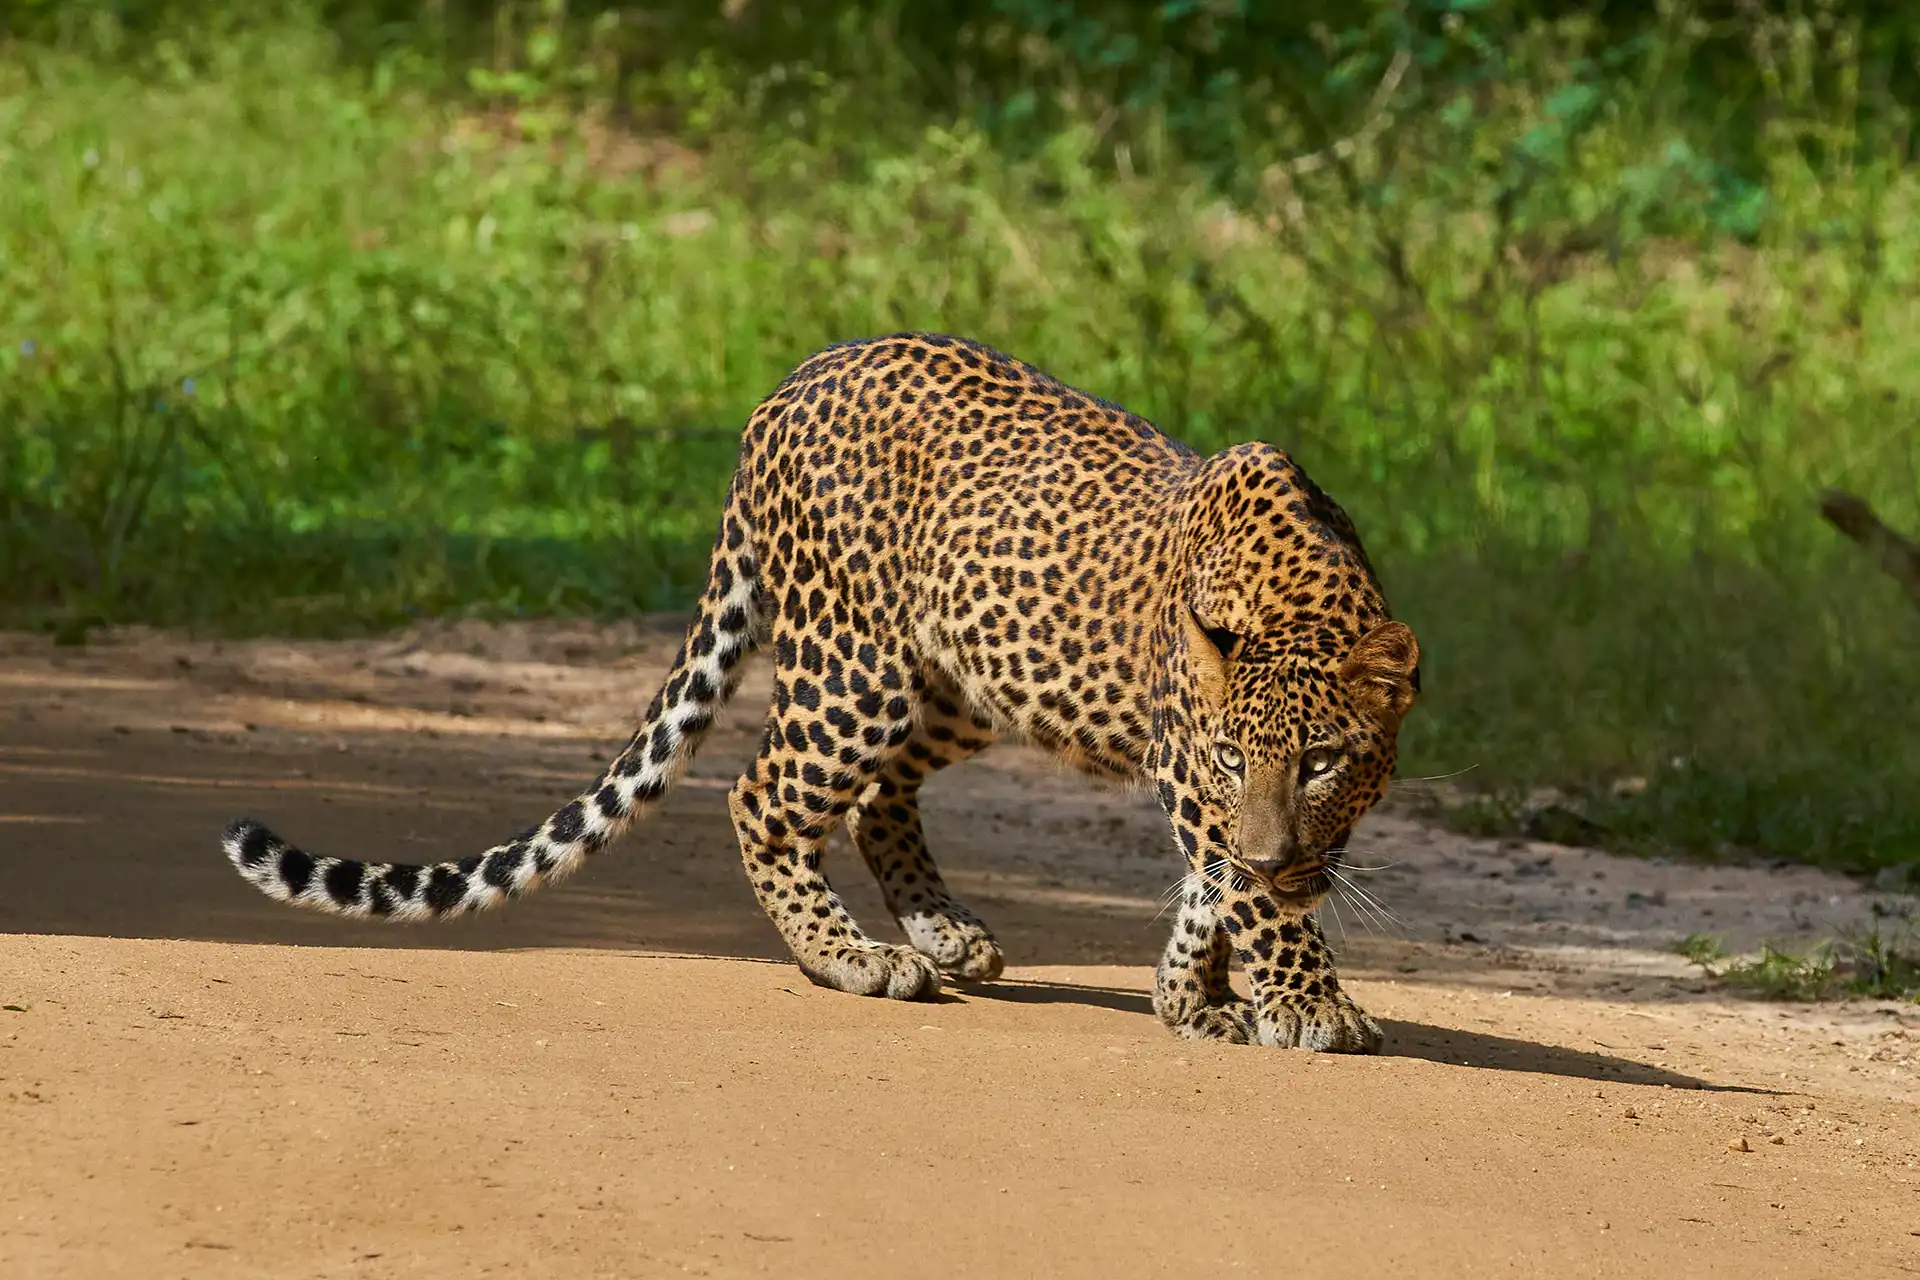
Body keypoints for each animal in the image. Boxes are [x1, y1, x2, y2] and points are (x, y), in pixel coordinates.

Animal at [222, 333, 1421, 1052]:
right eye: (1241, 758)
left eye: (1324, 762)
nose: (1280, 851)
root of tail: (781, 389)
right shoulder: (1188, 768)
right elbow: (1246, 893)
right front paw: (1307, 1003)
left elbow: (1217, 885)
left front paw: (1196, 996)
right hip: (856, 666)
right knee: (762, 793)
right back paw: (851, 955)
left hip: (960, 680)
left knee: (882, 795)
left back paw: (946, 935)